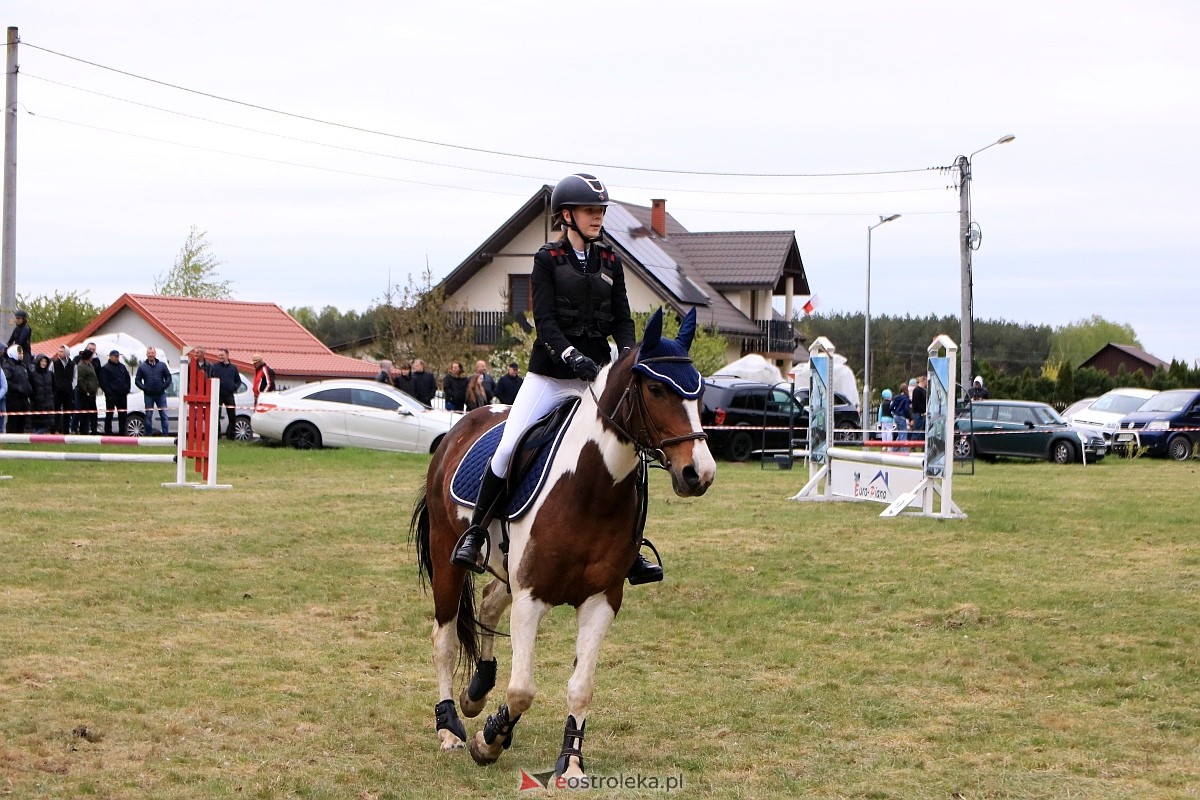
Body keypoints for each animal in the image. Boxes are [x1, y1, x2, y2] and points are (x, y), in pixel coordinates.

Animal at [408, 309, 715, 782]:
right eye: (657, 389)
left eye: (699, 392)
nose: (699, 473)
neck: (591, 487)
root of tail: (461, 426)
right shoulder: (531, 597)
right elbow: (522, 689)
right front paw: (489, 741)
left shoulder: (601, 599)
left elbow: (581, 687)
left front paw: (570, 763)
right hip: (448, 557)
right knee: (444, 637)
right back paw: (450, 728)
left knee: (490, 603)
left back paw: (477, 692)